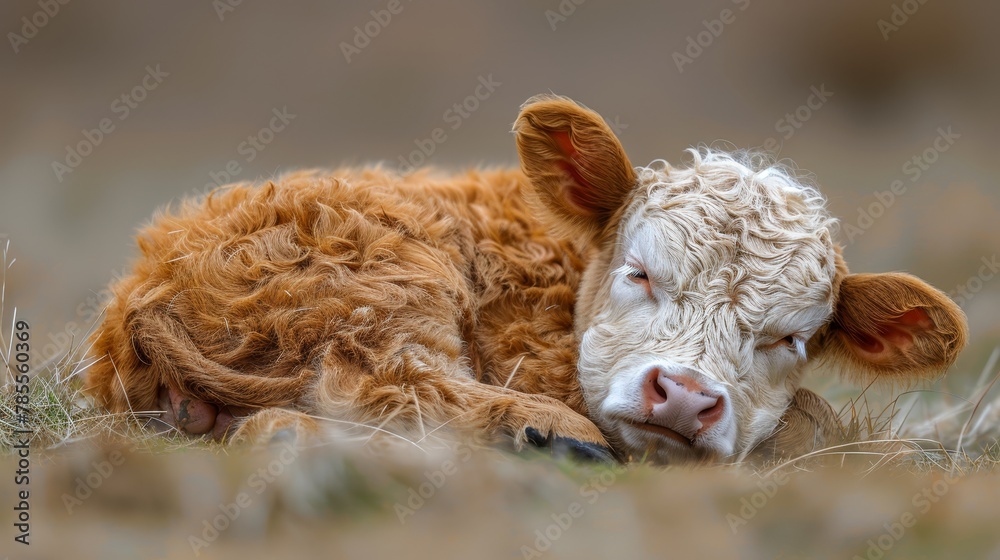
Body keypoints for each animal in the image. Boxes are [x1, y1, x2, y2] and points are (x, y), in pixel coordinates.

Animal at [88, 95, 968, 464]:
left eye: (790, 338)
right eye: (640, 273)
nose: (683, 397)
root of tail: (149, 281)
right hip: (382, 281)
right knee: (375, 391)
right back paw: (550, 437)